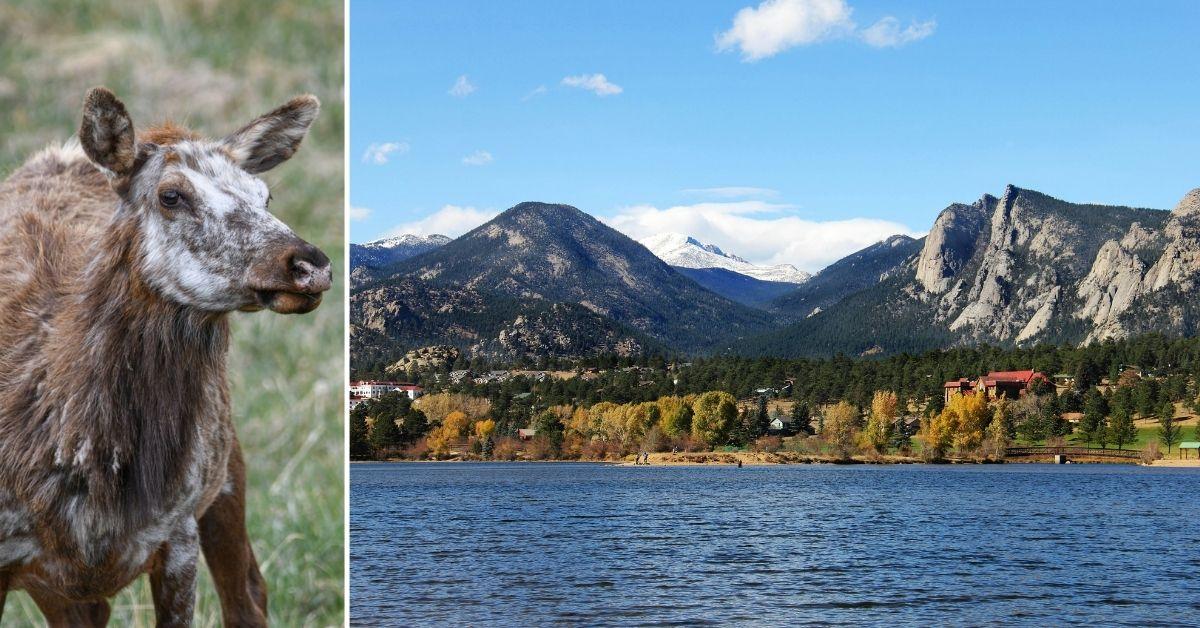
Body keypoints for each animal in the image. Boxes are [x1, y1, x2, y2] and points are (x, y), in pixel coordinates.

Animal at [0, 87, 331, 626]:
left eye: (265, 195)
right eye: (171, 195)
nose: (309, 265)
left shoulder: (177, 532)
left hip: (226, 473)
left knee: (250, 596)